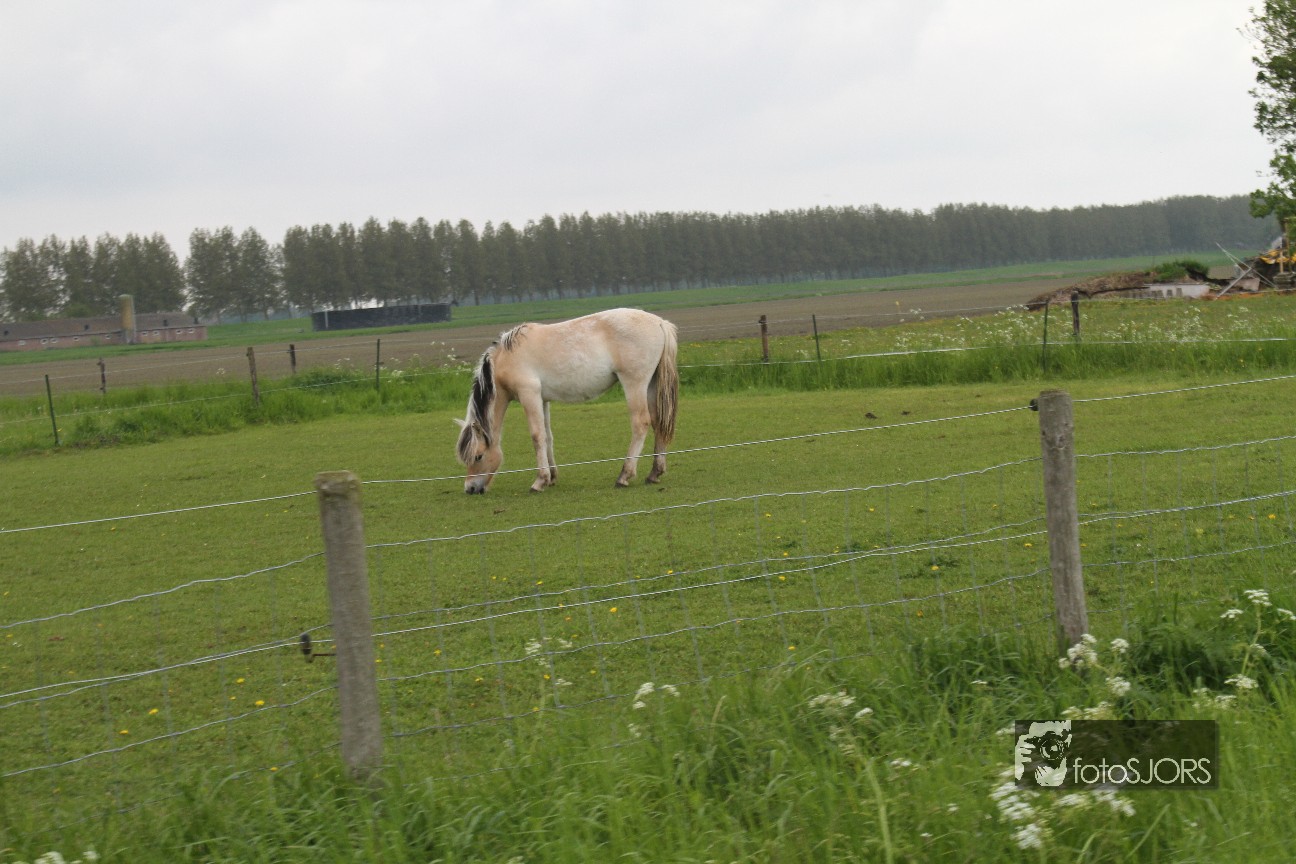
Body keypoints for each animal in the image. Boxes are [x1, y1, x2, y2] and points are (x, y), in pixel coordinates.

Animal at [454, 308, 679, 494]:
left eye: (478, 456)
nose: (470, 488)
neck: (507, 357)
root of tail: (660, 322)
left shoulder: (529, 395)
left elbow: (537, 436)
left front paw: (540, 481)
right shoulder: (542, 399)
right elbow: (547, 436)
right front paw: (552, 477)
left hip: (634, 384)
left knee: (641, 423)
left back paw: (624, 475)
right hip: (651, 386)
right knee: (658, 422)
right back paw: (654, 473)